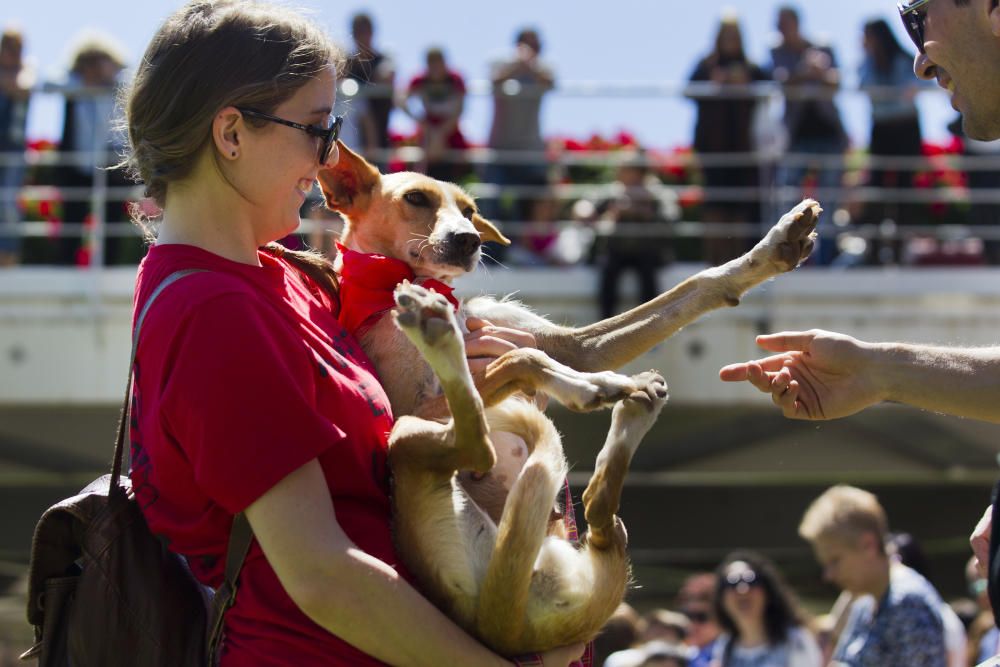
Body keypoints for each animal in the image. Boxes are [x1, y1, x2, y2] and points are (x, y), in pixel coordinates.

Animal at [314, 142, 820, 656]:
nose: (468, 240)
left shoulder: (575, 347)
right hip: (408, 440)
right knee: (483, 440)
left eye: (471, 211)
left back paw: (636, 407)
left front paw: (770, 250)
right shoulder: (414, 406)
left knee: (598, 510)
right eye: (416, 198)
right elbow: (522, 358)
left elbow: (692, 288)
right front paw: (586, 387)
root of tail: (510, 627)